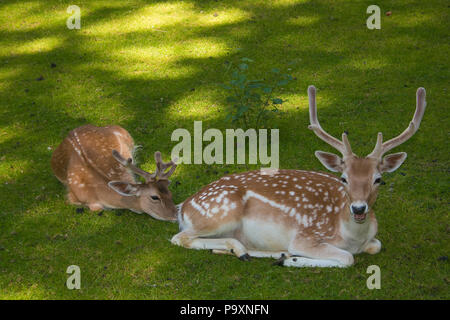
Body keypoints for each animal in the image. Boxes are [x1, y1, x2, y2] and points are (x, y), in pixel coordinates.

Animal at [171, 86, 428, 266]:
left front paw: (286, 257)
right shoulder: (305, 237)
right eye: (343, 178)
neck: (352, 237)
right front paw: (292, 259)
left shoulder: (371, 239)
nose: (358, 208)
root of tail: (183, 207)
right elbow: (347, 258)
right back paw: (249, 251)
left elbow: (377, 245)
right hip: (220, 213)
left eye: (378, 179)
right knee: (179, 238)